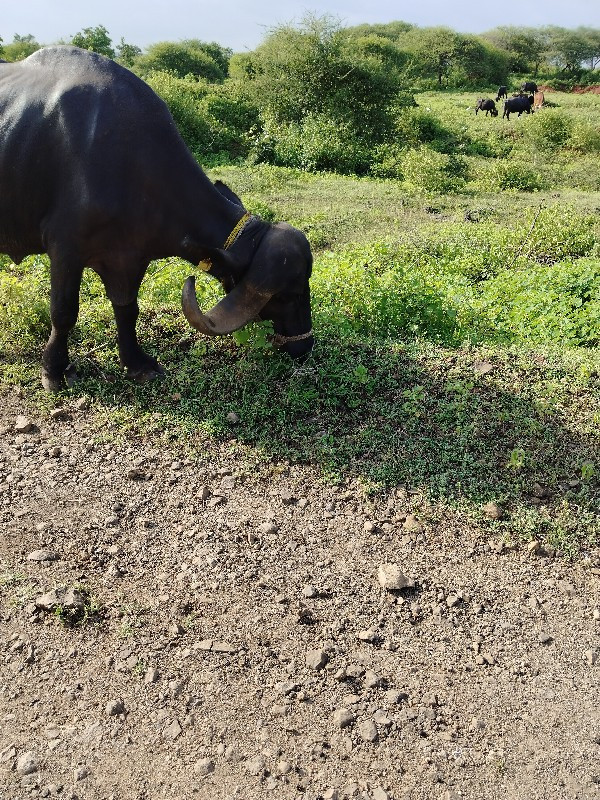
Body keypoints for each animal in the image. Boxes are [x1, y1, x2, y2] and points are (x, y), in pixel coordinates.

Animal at [0, 47, 316, 390]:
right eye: (287, 295)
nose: (305, 346)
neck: (130, 162)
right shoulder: (65, 250)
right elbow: (63, 312)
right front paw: (54, 371)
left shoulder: (129, 255)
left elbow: (128, 308)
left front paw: (137, 363)